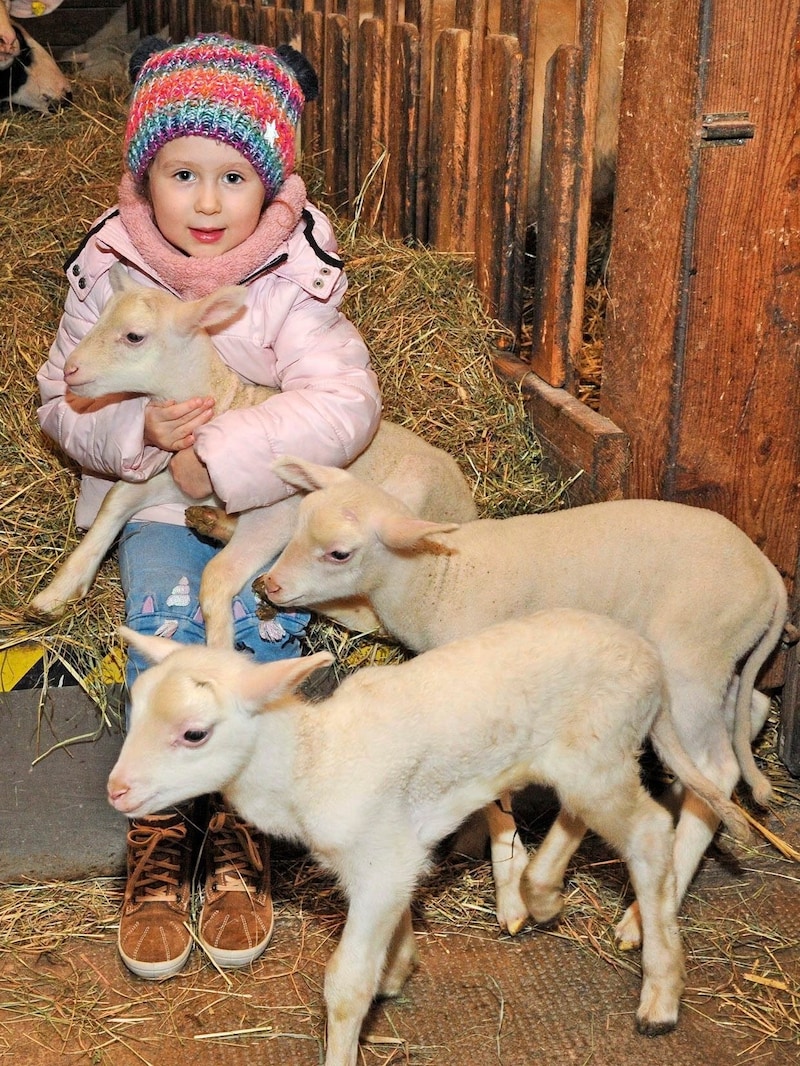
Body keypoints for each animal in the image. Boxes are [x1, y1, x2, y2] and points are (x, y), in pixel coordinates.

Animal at [31, 265, 480, 639]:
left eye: (134, 336)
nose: (69, 369)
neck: (229, 401)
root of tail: (470, 510)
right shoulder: (187, 479)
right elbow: (118, 496)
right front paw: (55, 594)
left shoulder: (273, 506)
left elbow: (218, 574)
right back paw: (213, 525)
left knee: (376, 614)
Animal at [109, 614, 755, 1061]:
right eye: (135, 709)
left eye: (194, 733)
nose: (117, 791)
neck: (310, 758)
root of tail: (652, 664)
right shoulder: (393, 851)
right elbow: (395, 920)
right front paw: (398, 969)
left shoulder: (378, 861)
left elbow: (345, 984)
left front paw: (353, 1028)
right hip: (582, 757)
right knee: (581, 814)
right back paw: (542, 893)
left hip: (601, 750)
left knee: (649, 831)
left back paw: (660, 997)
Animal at [261, 456, 789, 942]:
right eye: (297, 522)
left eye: (339, 553)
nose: (267, 586)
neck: (438, 578)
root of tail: (769, 574)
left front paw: (510, 890)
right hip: (719, 660)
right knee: (749, 712)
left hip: (690, 657)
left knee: (719, 766)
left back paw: (645, 914)